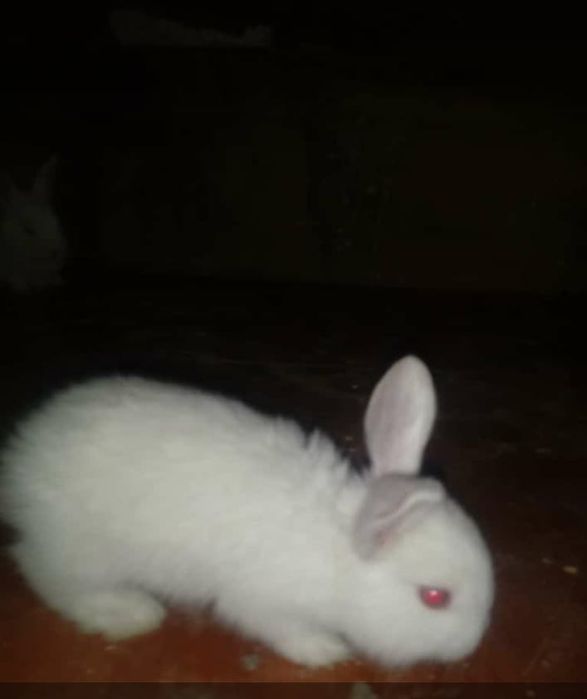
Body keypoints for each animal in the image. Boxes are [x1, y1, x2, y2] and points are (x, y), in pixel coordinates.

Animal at [0, 155, 67, 293]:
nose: (56, 253)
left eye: (56, 222)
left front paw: (58, 281)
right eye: (28, 229)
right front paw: (23, 288)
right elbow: (16, 278)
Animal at [0, 356, 494, 668]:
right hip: (79, 549)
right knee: (48, 575)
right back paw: (128, 612)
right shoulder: (263, 603)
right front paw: (325, 651)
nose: (468, 649)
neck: (336, 553)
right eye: (435, 597)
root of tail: (21, 460)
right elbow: (284, 629)